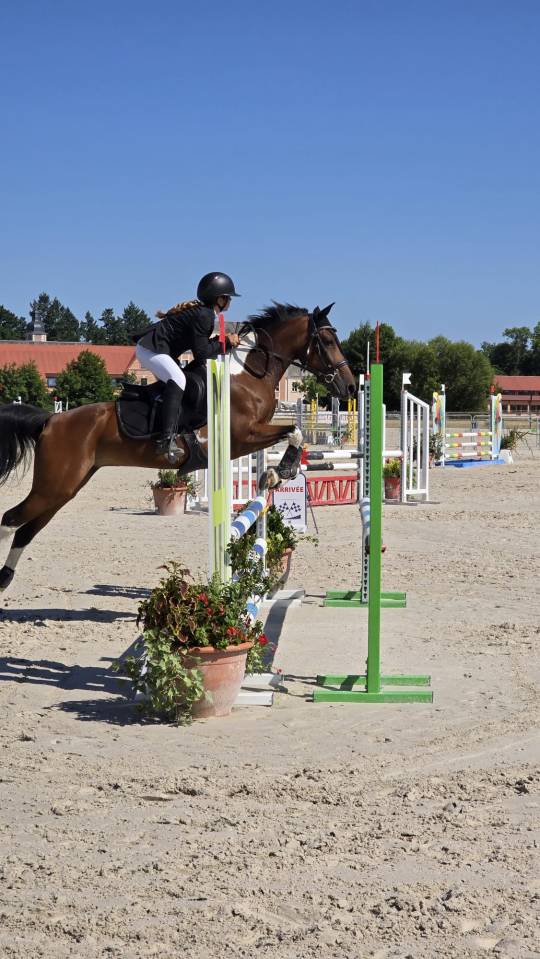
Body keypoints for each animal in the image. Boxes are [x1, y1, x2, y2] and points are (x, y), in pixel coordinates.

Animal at [0, 302, 356, 591]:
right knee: (10, 519)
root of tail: (50, 420)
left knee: (24, 530)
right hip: (53, 486)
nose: (351, 386)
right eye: (327, 341)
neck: (247, 375)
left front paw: (277, 473)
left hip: (64, 489)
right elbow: (293, 430)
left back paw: (6, 578)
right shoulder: (243, 434)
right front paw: (284, 468)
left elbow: (292, 433)